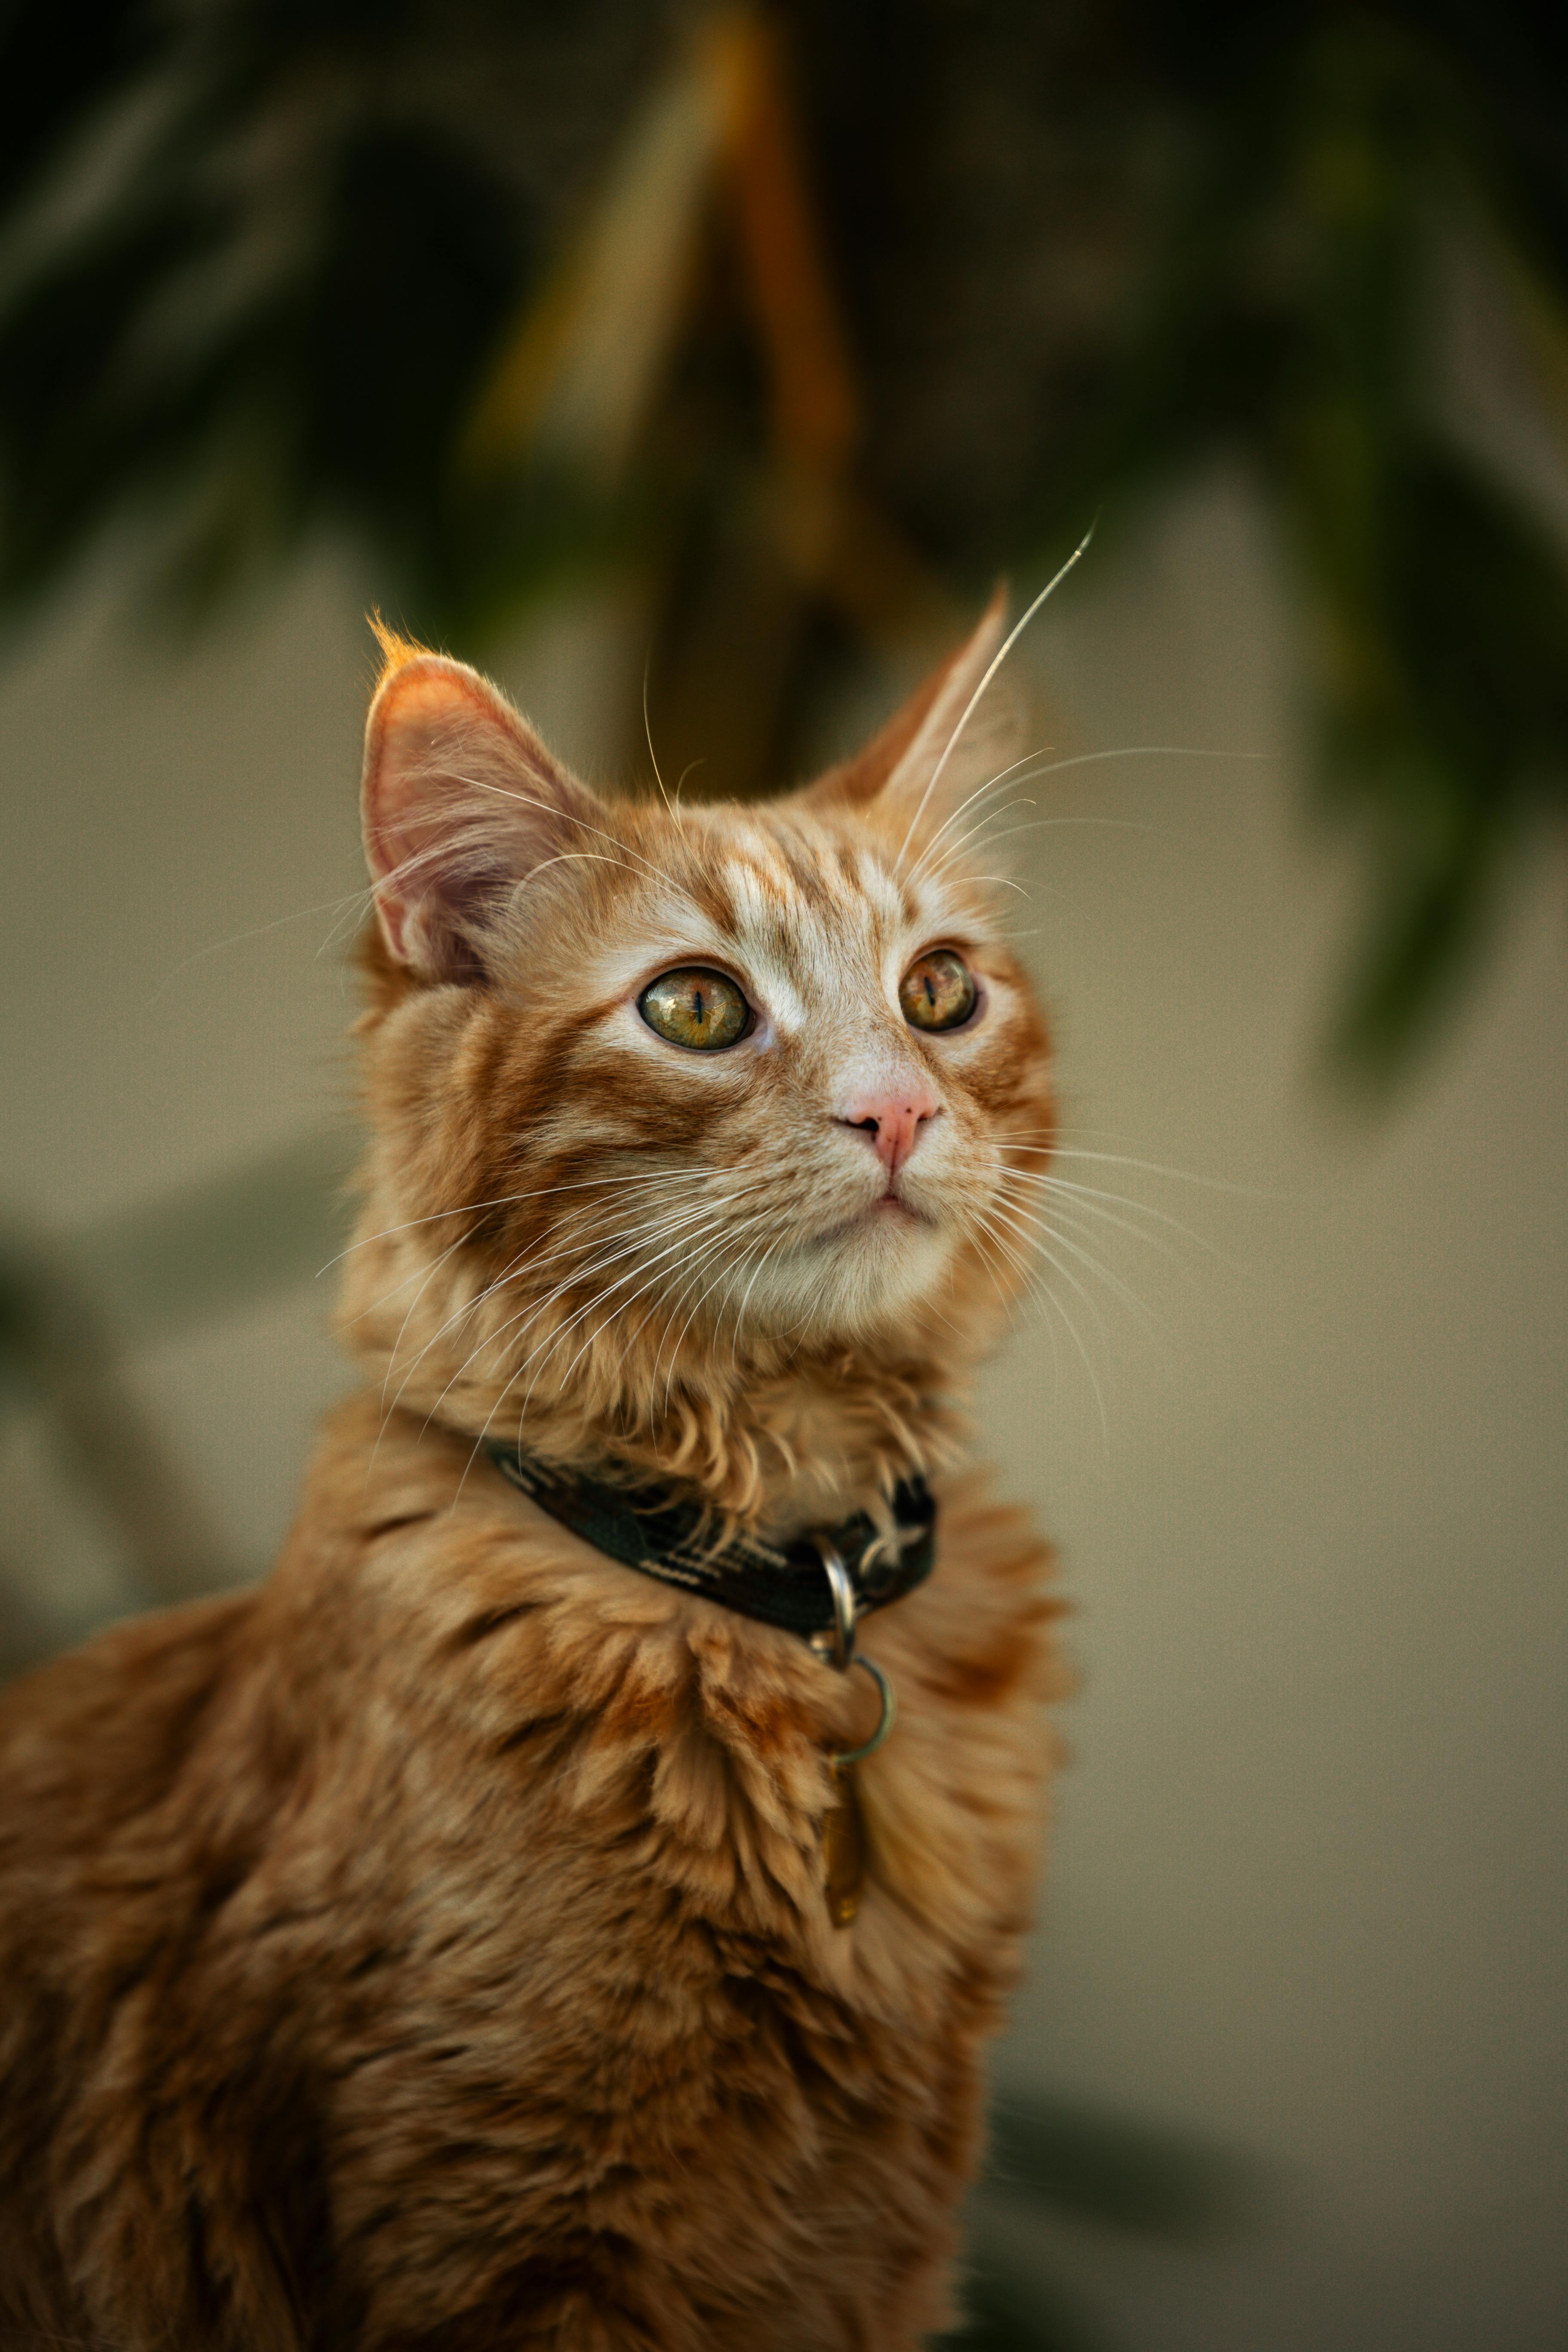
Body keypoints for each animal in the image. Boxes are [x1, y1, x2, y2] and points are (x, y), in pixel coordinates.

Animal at [0, 606, 1067, 2352]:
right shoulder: (515, 2237)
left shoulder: (872, 2252)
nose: (901, 1108)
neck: (773, 1596)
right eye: (696, 1010)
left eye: (938, 990)